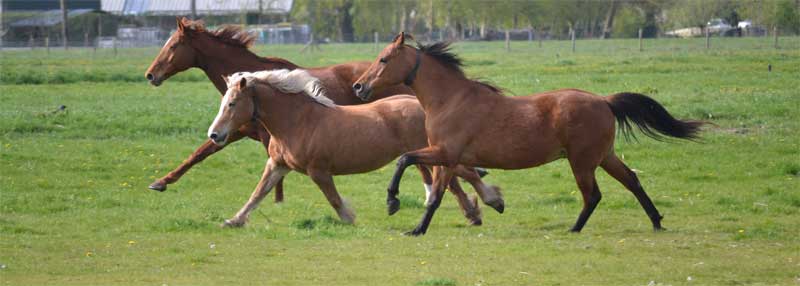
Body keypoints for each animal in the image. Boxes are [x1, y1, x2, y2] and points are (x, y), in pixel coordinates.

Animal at [145, 17, 416, 201]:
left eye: (173, 46)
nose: (150, 75)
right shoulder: (235, 131)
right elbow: (199, 153)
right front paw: (161, 182)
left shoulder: (268, 135)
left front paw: (277, 200)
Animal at [209, 70, 504, 227]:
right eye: (223, 102)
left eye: (232, 103)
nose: (214, 135)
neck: (298, 121)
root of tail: (423, 106)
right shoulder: (277, 165)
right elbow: (257, 194)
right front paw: (234, 221)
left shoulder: (318, 171)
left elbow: (334, 199)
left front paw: (350, 219)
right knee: (458, 178)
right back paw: (477, 211)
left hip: (429, 153)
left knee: (464, 174)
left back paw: (490, 203)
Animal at [354, 33, 704, 235]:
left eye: (383, 58)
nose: (359, 86)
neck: (450, 100)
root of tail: (604, 101)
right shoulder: (448, 158)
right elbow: (438, 186)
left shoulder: (446, 153)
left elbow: (413, 169)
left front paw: (400, 210)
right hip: (604, 156)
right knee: (631, 180)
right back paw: (656, 221)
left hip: (582, 161)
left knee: (593, 195)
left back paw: (574, 229)